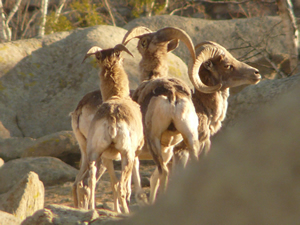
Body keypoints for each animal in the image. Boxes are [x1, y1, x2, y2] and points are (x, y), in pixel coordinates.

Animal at [72, 43, 144, 213]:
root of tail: (112, 120)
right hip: (126, 155)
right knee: (122, 187)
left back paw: (91, 209)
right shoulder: (136, 152)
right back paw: (125, 212)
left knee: (88, 183)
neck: (117, 96)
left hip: (93, 154)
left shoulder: (108, 157)